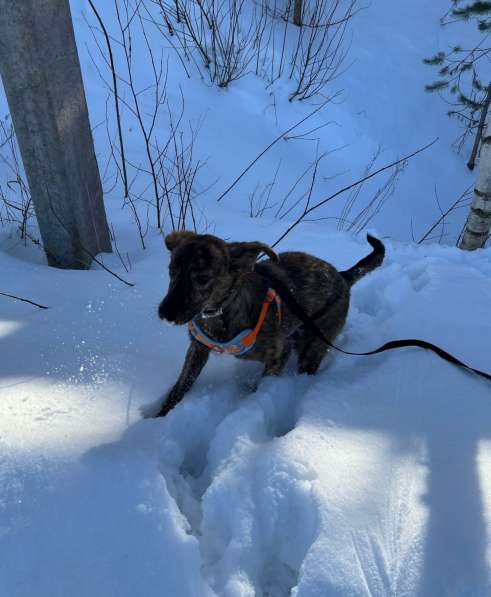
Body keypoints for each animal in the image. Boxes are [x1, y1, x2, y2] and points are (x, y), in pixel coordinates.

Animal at [156, 228, 386, 414]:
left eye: (203, 278)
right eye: (171, 271)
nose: (164, 314)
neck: (220, 313)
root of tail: (342, 276)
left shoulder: (278, 355)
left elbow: (262, 386)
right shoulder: (197, 349)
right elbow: (180, 386)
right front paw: (162, 414)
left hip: (313, 345)